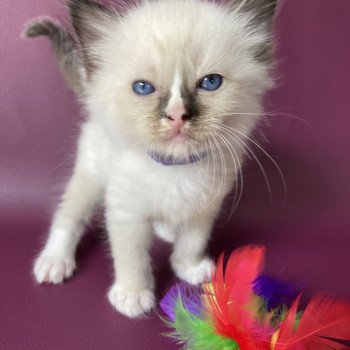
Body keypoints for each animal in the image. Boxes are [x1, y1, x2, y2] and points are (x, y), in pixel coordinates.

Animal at [25, 0, 278, 318]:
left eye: (211, 82)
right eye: (143, 88)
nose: (177, 114)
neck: (175, 169)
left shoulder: (204, 206)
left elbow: (192, 242)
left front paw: (189, 267)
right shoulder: (126, 212)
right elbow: (131, 257)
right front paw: (133, 296)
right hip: (89, 177)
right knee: (68, 216)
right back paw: (54, 262)